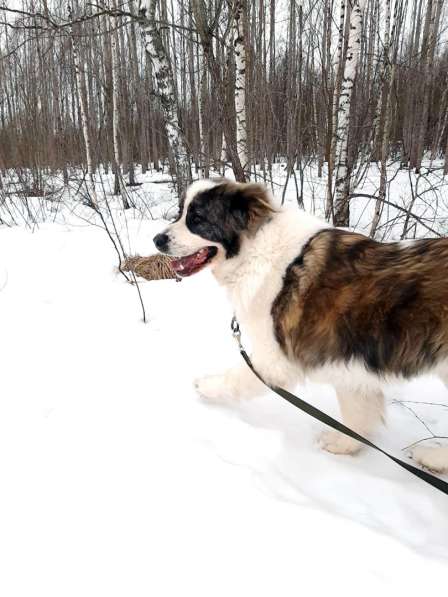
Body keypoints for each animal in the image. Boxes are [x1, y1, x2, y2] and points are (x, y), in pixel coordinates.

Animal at [153, 179, 448, 472]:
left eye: (196, 219)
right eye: (180, 212)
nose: (157, 240)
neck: (255, 248)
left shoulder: (274, 360)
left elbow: (235, 378)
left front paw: (206, 386)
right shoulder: (347, 360)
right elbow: (358, 412)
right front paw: (344, 445)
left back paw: (431, 457)